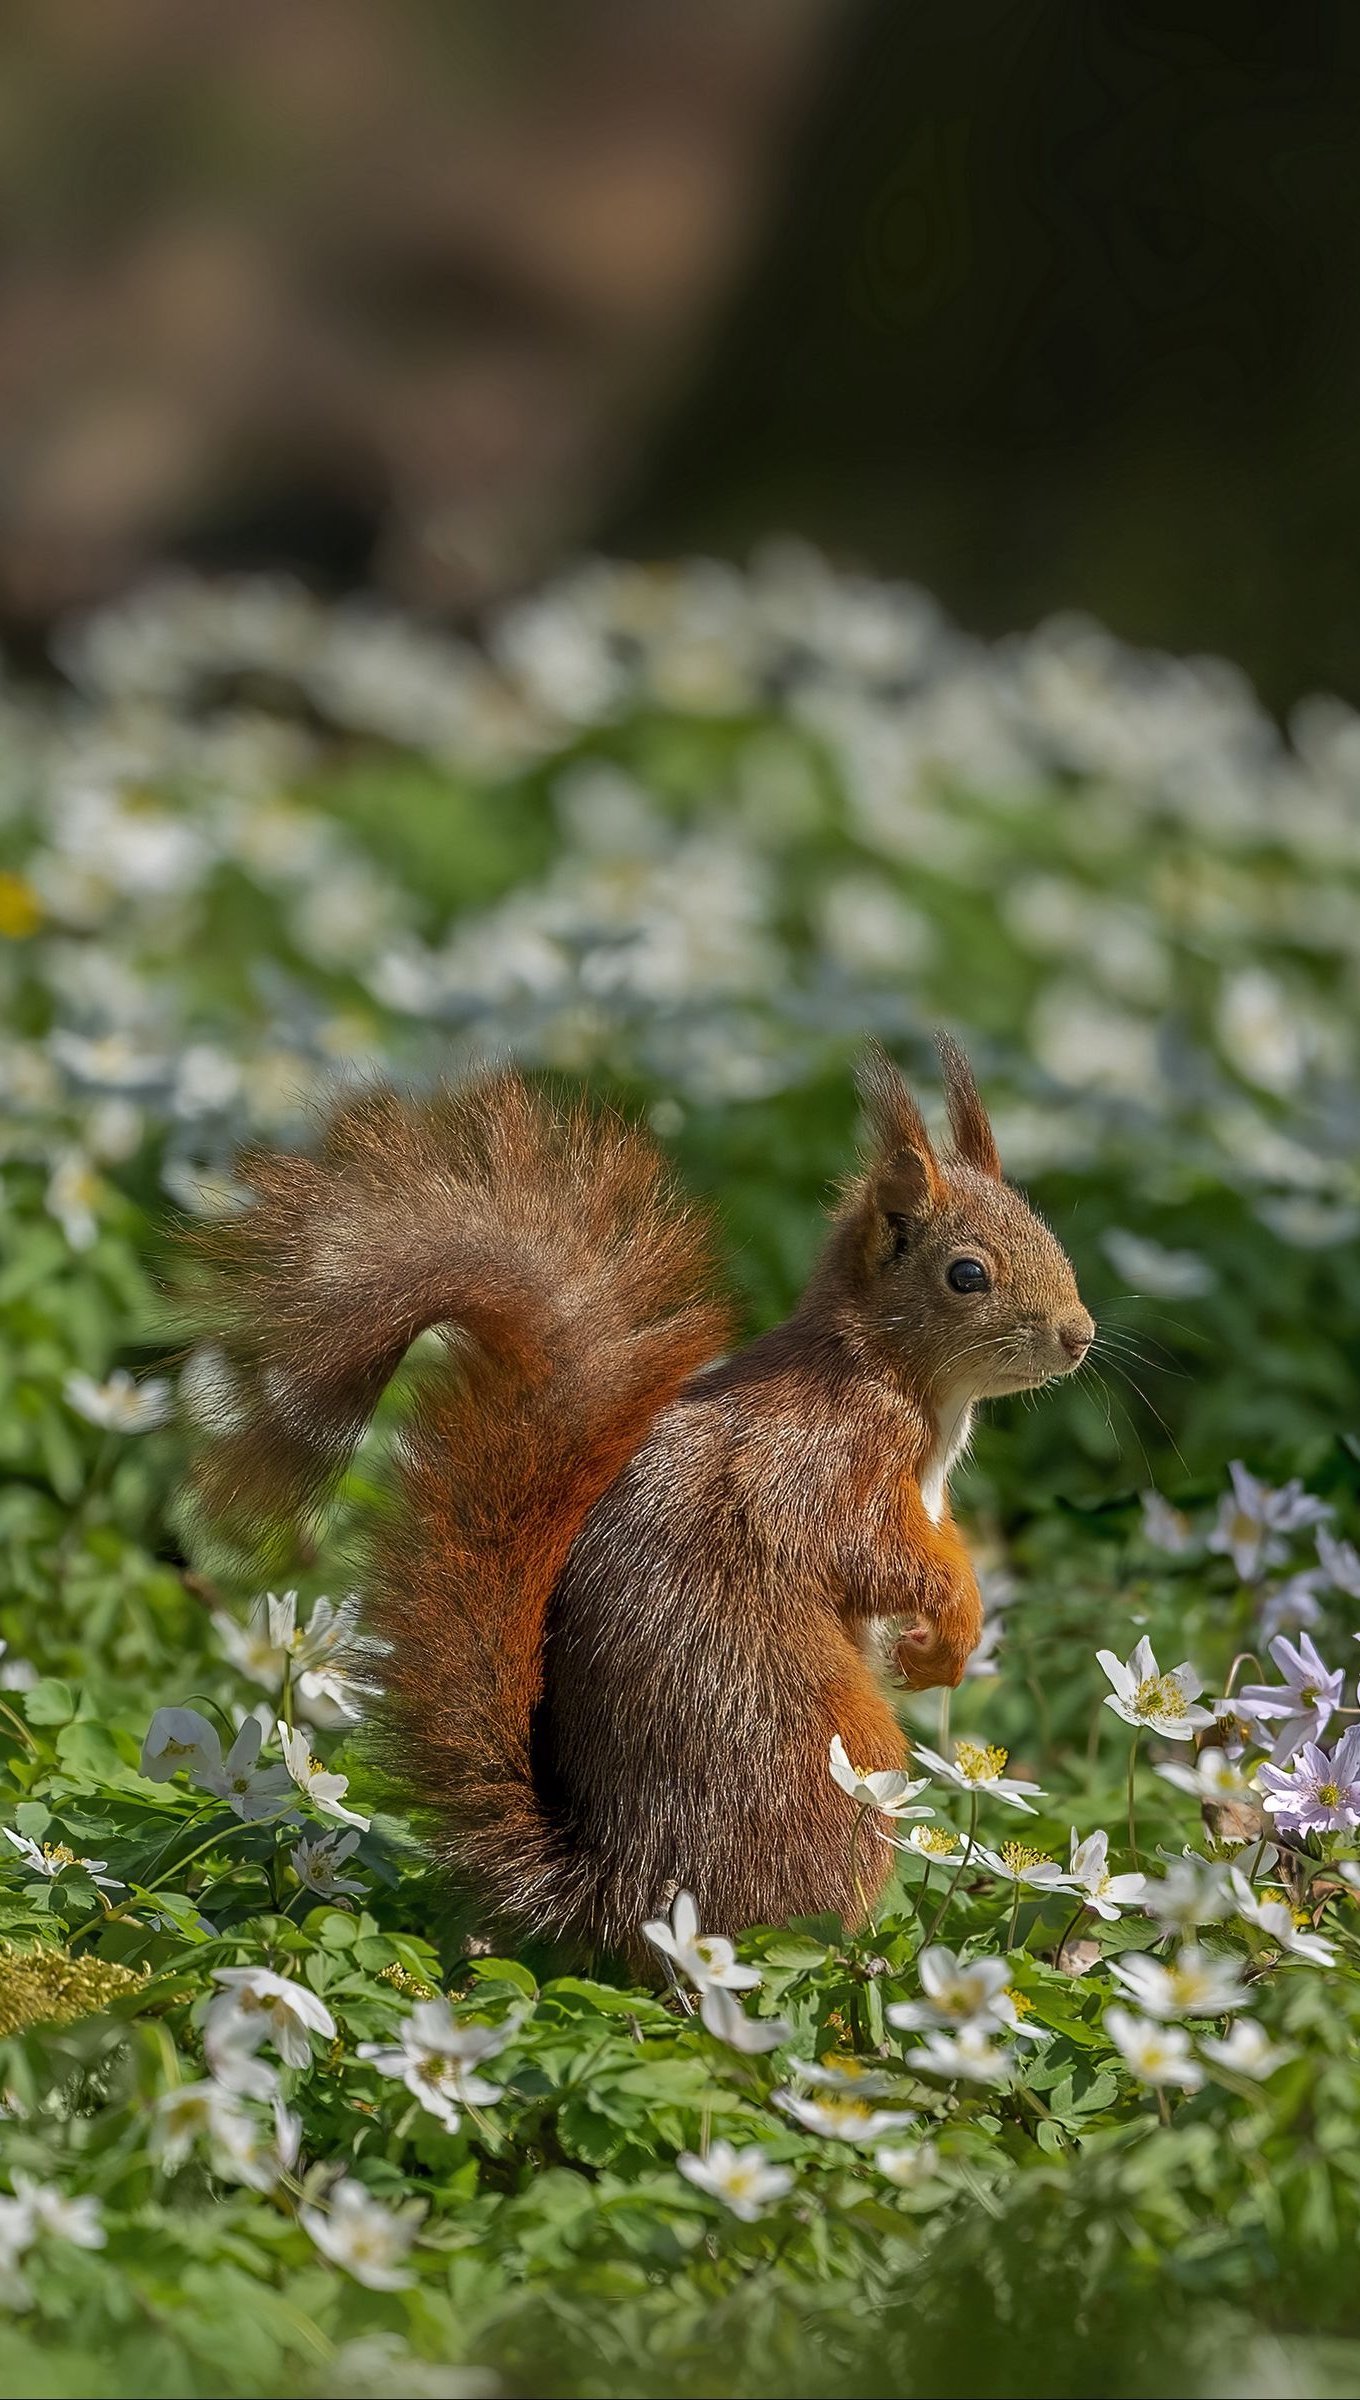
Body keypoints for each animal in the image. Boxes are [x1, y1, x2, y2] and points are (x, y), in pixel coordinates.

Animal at [185, 1041, 1098, 1939]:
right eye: (967, 1274)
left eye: (1051, 1233)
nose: (1080, 1336)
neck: (897, 1378)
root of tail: (617, 1891)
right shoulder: (823, 1460)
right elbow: (870, 1550)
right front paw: (952, 1627)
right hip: (835, 1750)